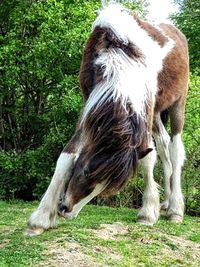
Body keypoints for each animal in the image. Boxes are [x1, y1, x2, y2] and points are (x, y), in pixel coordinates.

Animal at [25, 2, 189, 237]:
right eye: (86, 170)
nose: (66, 210)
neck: (120, 52)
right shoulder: (90, 105)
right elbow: (67, 155)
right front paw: (40, 218)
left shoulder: (144, 108)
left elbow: (147, 158)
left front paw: (148, 212)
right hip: (158, 113)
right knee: (165, 144)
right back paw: (166, 204)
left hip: (178, 103)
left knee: (175, 150)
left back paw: (175, 208)